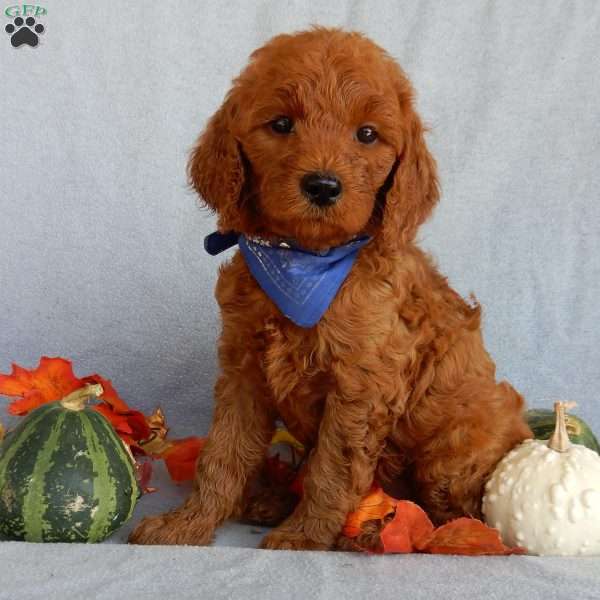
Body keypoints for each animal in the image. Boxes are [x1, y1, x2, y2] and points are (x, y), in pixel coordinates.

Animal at [130, 29, 528, 552]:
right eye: (281, 124)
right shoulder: (242, 371)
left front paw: (304, 536)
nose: (322, 186)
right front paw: (188, 523)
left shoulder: (361, 387)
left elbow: (333, 468)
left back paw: (385, 533)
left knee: (460, 515)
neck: (304, 260)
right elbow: (223, 454)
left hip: (455, 452)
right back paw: (273, 500)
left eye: (367, 134)